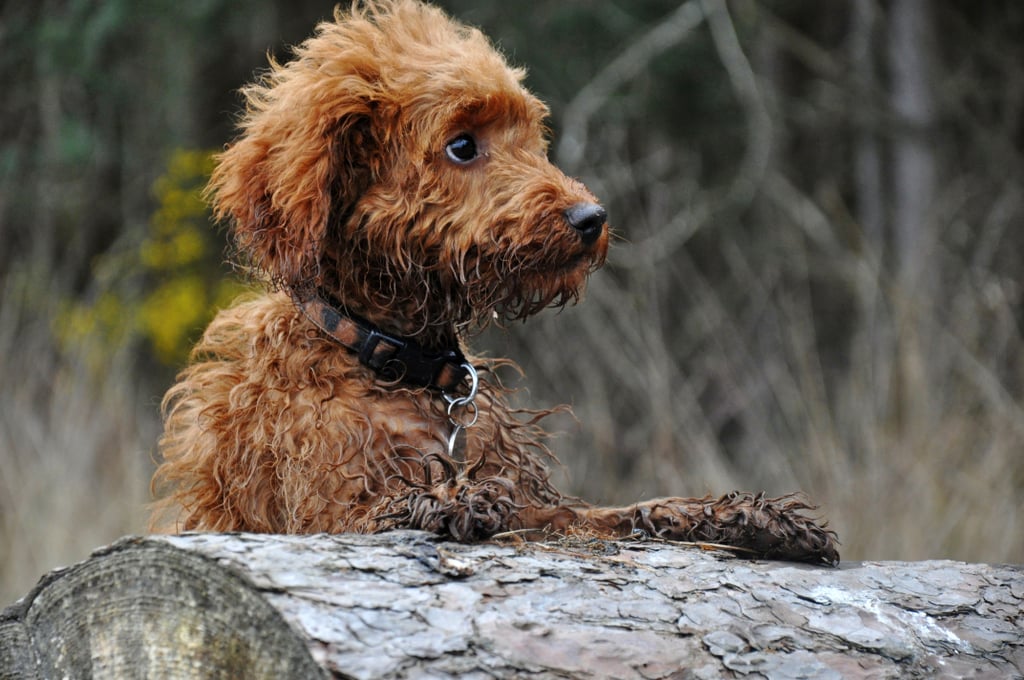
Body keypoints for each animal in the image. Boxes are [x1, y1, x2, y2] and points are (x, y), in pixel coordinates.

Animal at [151, 0, 839, 561]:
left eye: (528, 134)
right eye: (462, 145)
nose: (592, 219)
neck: (397, 363)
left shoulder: (539, 507)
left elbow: (624, 511)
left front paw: (742, 515)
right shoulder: (319, 512)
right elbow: (388, 506)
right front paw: (443, 499)